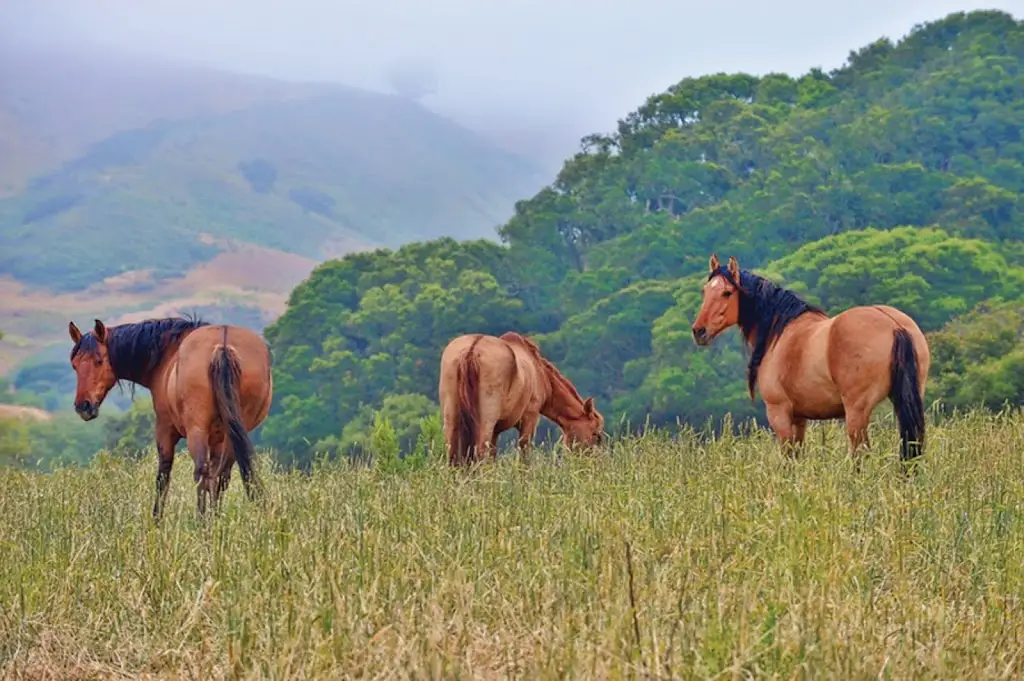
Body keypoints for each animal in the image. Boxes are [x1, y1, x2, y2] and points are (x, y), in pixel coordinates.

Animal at [69, 315, 274, 518]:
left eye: (99, 361)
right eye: (75, 365)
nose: (83, 406)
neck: (168, 354)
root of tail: (223, 347)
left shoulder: (165, 431)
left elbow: (163, 477)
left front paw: (156, 520)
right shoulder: (218, 438)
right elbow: (215, 479)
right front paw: (214, 516)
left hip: (197, 431)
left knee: (201, 472)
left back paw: (201, 522)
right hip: (234, 433)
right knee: (222, 475)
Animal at [436, 329, 602, 466]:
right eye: (595, 433)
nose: (593, 463)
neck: (539, 372)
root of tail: (471, 350)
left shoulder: (496, 431)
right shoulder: (530, 418)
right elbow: (524, 456)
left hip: (452, 418)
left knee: (453, 455)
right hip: (485, 422)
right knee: (480, 452)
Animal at [692, 251, 933, 464]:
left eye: (727, 292)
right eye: (705, 291)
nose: (698, 331)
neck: (779, 331)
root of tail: (894, 325)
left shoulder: (779, 413)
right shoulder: (800, 419)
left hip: (857, 412)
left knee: (860, 455)